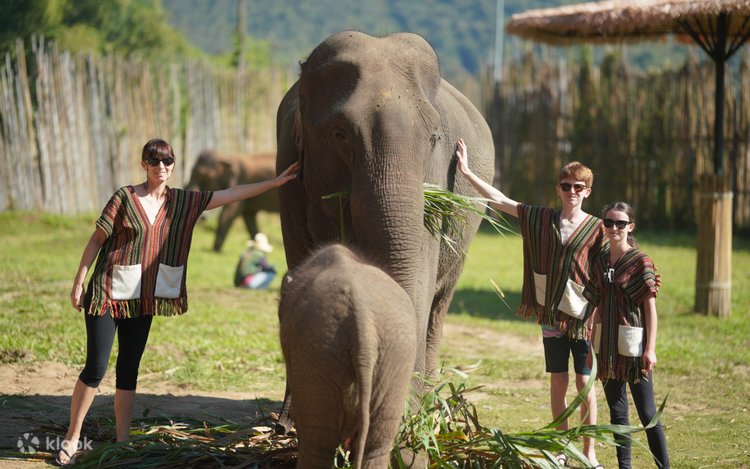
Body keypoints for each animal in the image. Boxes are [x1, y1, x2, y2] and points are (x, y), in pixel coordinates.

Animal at [276, 30, 495, 378]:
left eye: (434, 138)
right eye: (339, 134)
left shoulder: (436, 182)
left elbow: (421, 274)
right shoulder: (287, 171)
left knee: (439, 304)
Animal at [278, 244, 417, 469]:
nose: (279, 428)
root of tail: (363, 319)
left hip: (319, 355)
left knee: (317, 443)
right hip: (396, 356)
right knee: (377, 444)